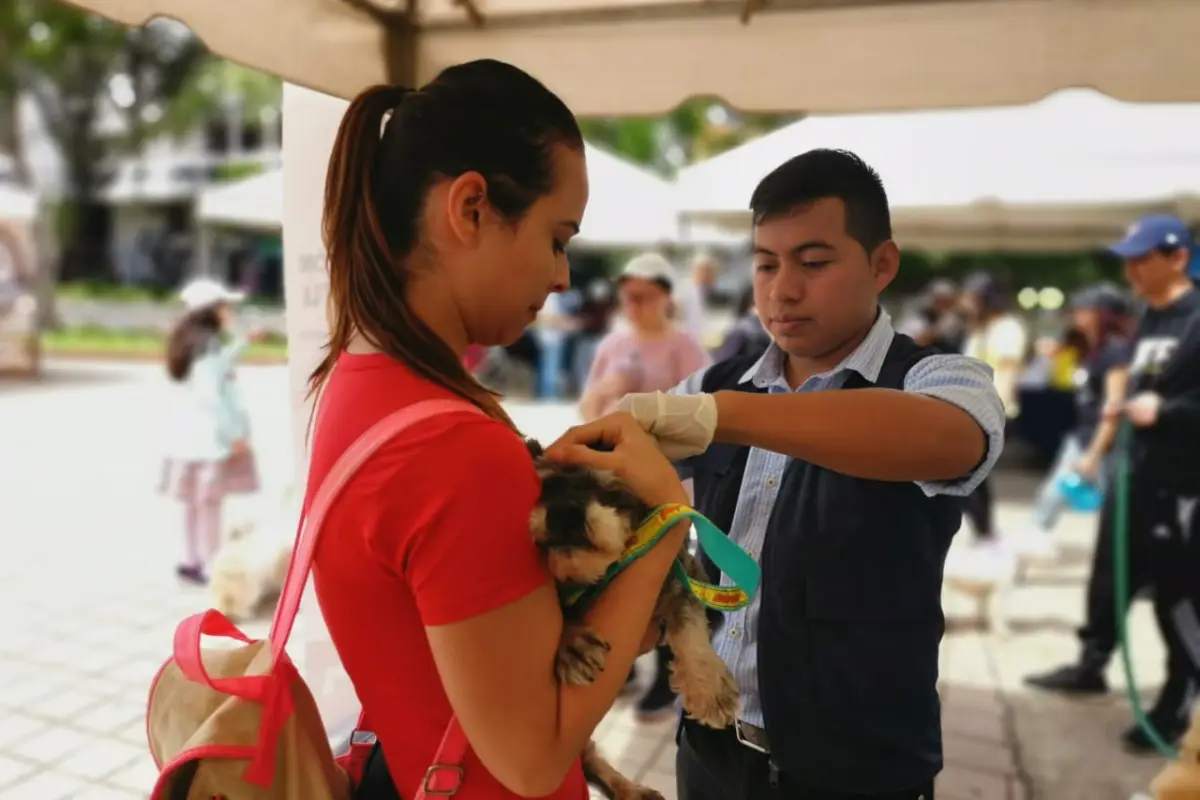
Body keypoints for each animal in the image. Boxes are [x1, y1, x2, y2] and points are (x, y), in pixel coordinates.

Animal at [528, 441, 739, 800]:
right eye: (548, 487)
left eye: (613, 494)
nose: (565, 511)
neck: (591, 578)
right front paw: (573, 642)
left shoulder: (681, 578)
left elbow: (690, 631)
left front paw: (709, 689)